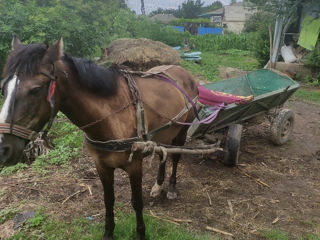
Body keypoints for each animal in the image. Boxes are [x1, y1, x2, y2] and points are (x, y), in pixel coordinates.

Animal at [0, 36, 199, 240]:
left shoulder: (135, 166)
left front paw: (141, 234)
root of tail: (184, 73)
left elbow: (137, 202)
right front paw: (108, 233)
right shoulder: (102, 166)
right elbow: (108, 200)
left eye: (35, 89)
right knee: (162, 155)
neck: (112, 115)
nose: (4, 149)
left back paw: (172, 188)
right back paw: (158, 185)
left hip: (183, 131)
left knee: (175, 157)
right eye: (3, 89)